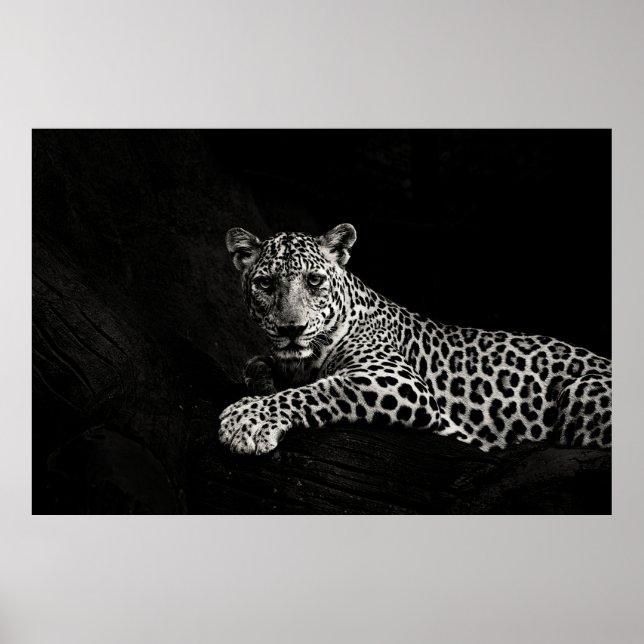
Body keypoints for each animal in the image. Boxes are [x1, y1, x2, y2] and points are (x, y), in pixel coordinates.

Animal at [219, 223, 612, 455]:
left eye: (314, 281)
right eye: (265, 284)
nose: (292, 328)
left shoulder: (396, 379)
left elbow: (321, 390)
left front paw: (247, 419)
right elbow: (258, 367)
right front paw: (262, 384)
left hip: (580, 392)